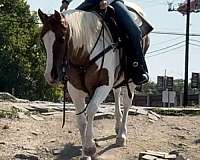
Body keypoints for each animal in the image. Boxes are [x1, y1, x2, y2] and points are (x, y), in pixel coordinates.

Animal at [38, 8, 149, 159]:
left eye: (62, 39)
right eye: (42, 40)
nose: (50, 75)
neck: (85, 54)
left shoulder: (103, 85)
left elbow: (90, 110)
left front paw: (90, 148)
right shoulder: (74, 89)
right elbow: (81, 119)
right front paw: (85, 152)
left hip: (132, 79)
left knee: (127, 104)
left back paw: (121, 136)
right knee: (117, 94)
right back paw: (117, 125)